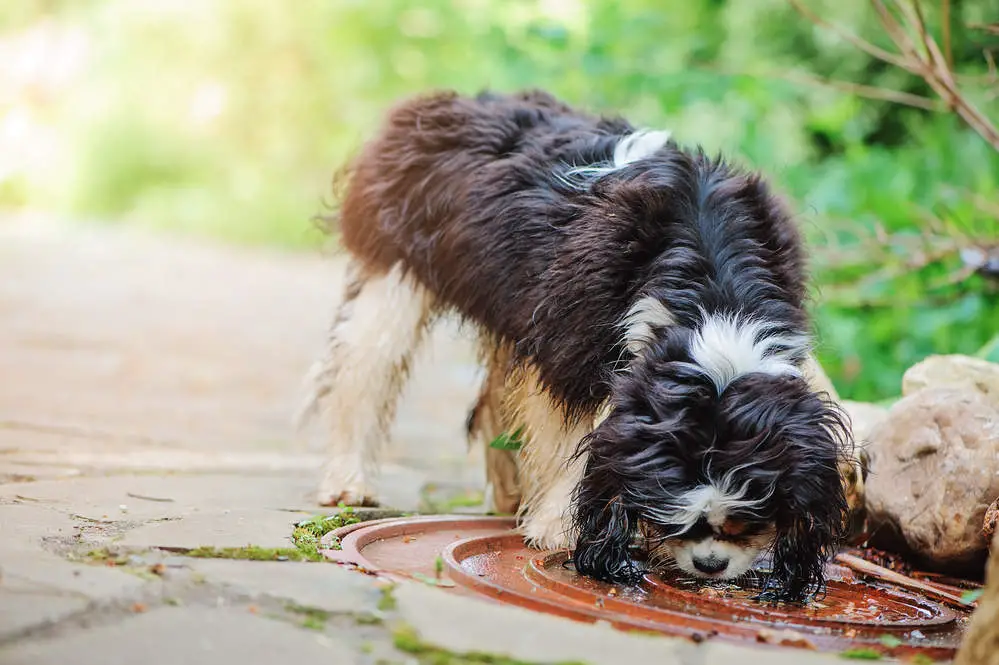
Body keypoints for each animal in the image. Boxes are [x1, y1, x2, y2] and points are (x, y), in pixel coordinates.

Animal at [294, 88, 860, 600]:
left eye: (749, 520)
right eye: (681, 521)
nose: (710, 565)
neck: (712, 288)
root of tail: (446, 102)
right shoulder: (568, 343)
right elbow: (569, 435)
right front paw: (559, 529)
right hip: (395, 270)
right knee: (365, 366)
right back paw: (348, 481)